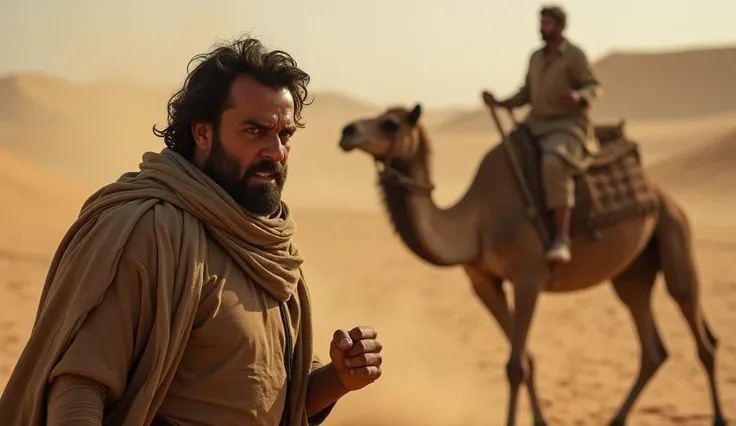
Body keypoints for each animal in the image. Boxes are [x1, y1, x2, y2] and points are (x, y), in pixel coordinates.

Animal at [336, 104, 728, 426]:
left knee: (698, 327)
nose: (347, 131)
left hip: (674, 231)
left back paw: (720, 417)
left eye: (390, 123)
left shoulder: (528, 277)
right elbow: (525, 360)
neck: (476, 222)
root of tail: (659, 192)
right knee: (652, 344)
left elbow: (514, 364)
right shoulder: (484, 283)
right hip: (631, 274)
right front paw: (540, 421)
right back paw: (616, 419)